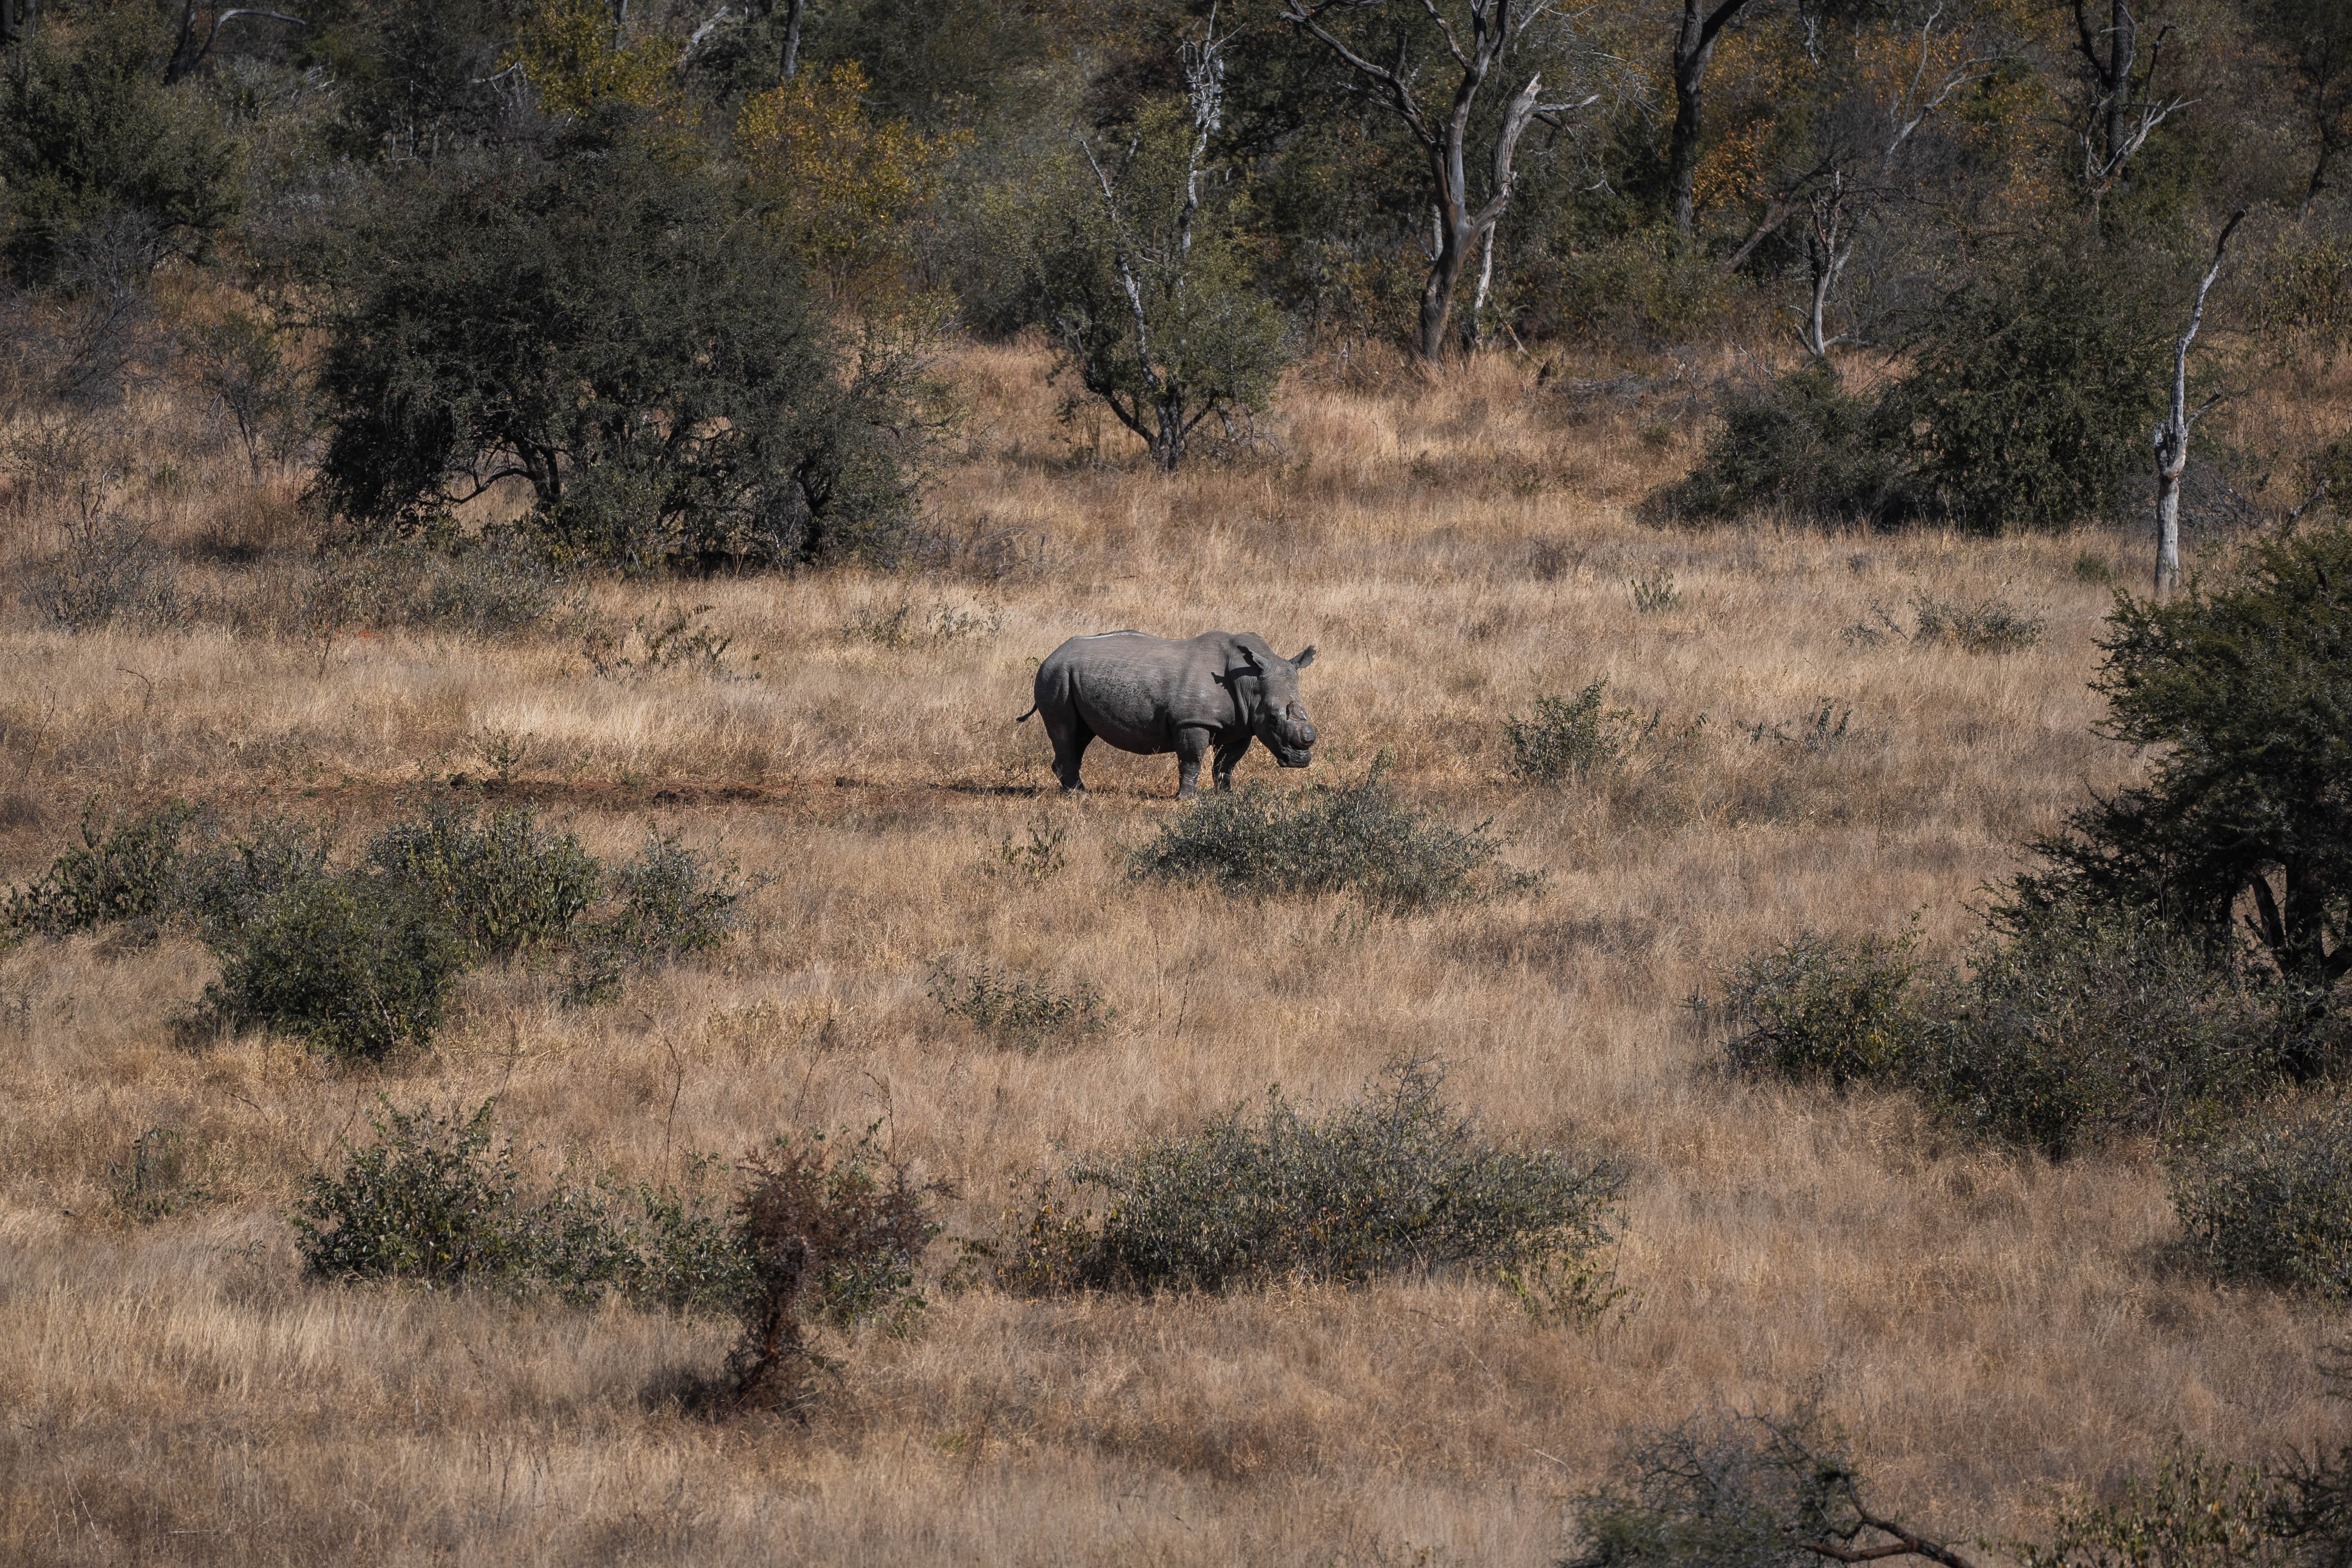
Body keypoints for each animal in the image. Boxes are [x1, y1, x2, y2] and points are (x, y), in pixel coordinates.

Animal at [1018, 631, 1319, 797]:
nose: (1299, 762)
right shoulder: (1192, 720)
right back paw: (1080, 798)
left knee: (1080, 735)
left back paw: (1075, 792)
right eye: (1273, 719)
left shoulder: (1242, 726)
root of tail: (1052, 653)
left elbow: (1226, 764)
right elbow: (1193, 760)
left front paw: (1227, 797)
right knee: (1065, 730)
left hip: (1068, 675)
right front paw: (1188, 800)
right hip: (1055, 674)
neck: (1249, 681)